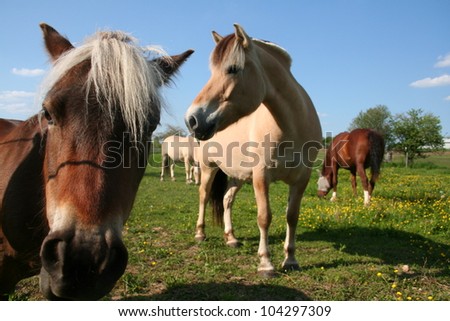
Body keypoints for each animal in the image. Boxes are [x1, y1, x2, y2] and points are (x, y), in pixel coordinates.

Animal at [185, 24, 322, 276]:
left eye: (233, 69)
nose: (192, 119)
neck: (292, 126)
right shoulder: (261, 177)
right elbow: (264, 217)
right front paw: (266, 263)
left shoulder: (301, 178)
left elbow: (292, 216)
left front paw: (290, 259)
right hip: (208, 168)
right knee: (203, 196)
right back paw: (200, 234)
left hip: (237, 175)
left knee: (227, 199)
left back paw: (231, 238)